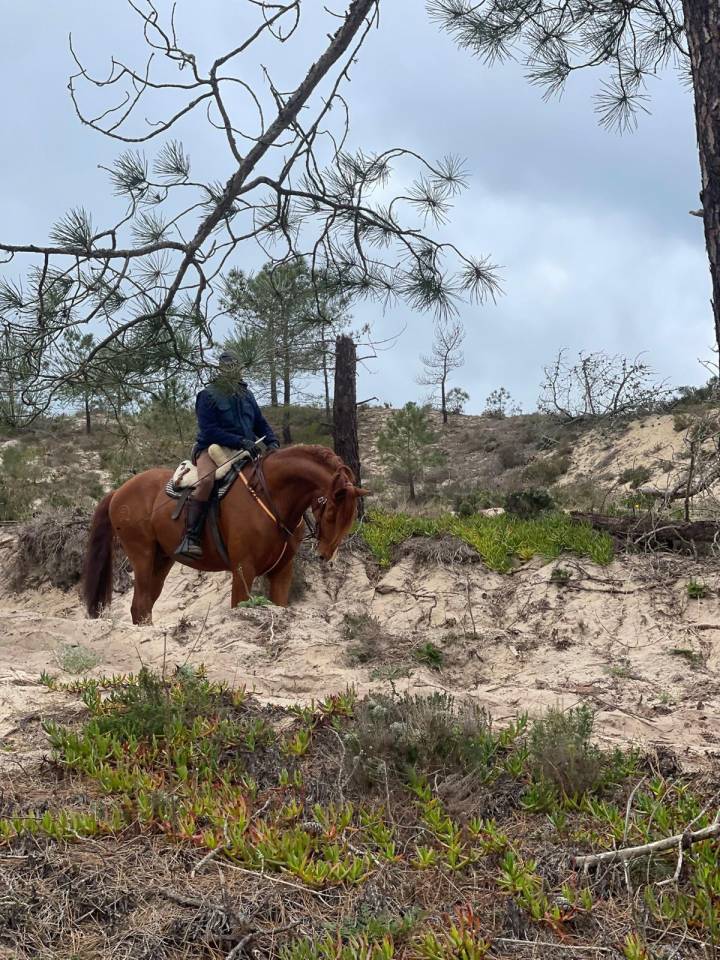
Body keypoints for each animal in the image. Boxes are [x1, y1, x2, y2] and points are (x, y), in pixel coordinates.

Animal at [82, 445, 368, 625]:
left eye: (350, 518)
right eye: (331, 512)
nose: (325, 555)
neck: (270, 496)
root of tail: (118, 491)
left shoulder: (282, 573)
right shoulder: (243, 570)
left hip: (161, 560)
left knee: (145, 606)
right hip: (142, 555)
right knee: (140, 605)